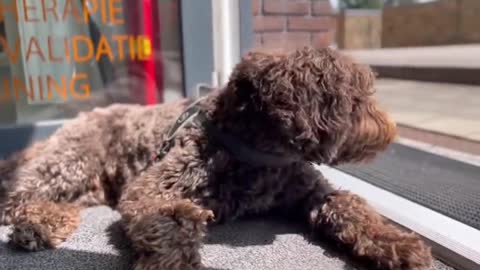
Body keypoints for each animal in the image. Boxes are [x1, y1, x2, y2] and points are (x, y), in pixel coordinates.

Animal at [0, 47, 434, 268]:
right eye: (360, 100)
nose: (391, 129)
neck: (259, 156)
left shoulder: (311, 190)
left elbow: (349, 206)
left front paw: (394, 242)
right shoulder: (155, 189)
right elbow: (172, 222)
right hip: (72, 159)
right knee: (18, 197)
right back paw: (38, 224)